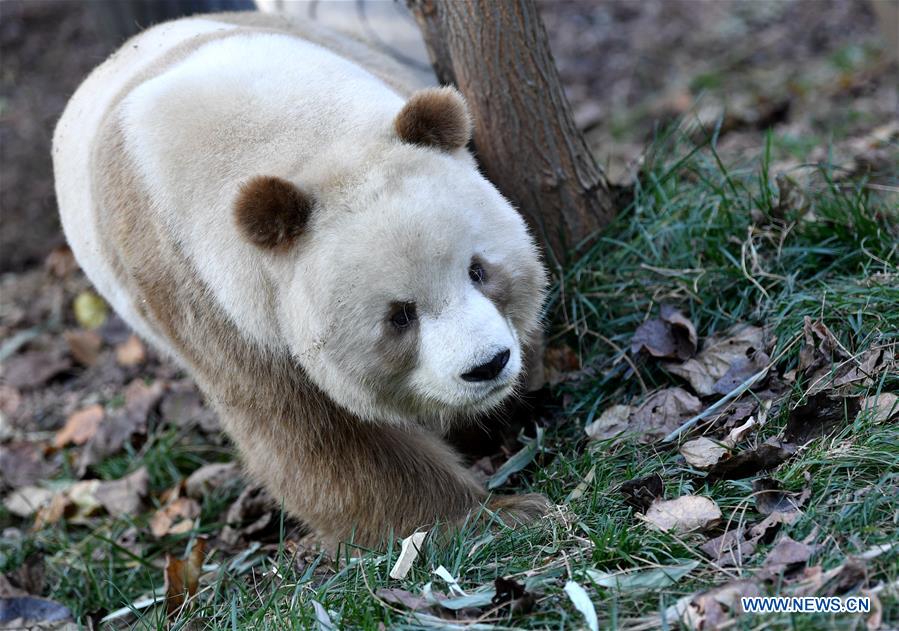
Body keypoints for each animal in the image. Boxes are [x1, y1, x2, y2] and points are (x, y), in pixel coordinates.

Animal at [56, 11, 552, 548]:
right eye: (400, 317)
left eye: (478, 270)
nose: (487, 365)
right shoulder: (202, 291)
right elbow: (318, 438)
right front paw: (494, 516)